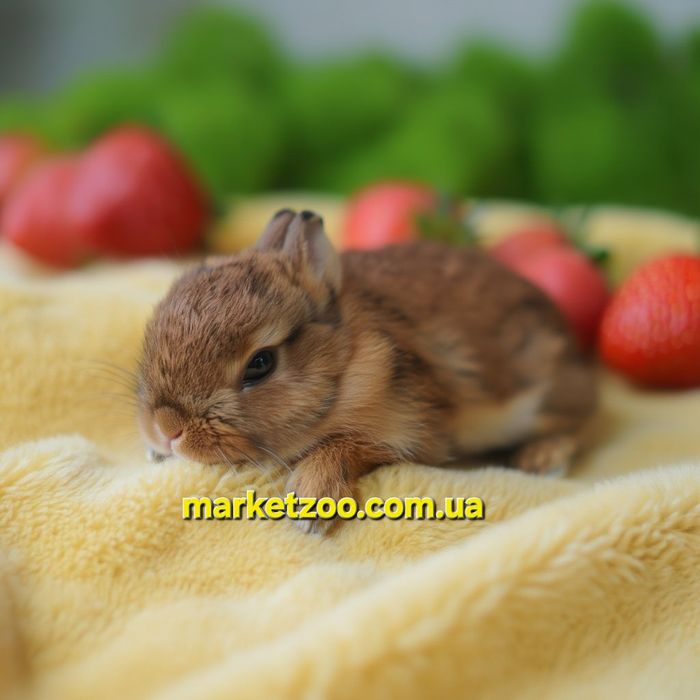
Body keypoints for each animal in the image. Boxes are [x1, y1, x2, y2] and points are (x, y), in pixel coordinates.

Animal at [138, 209, 597, 531]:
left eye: (261, 364)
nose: (167, 429)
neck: (344, 363)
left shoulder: (409, 430)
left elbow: (345, 445)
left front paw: (308, 506)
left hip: (544, 393)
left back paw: (541, 459)